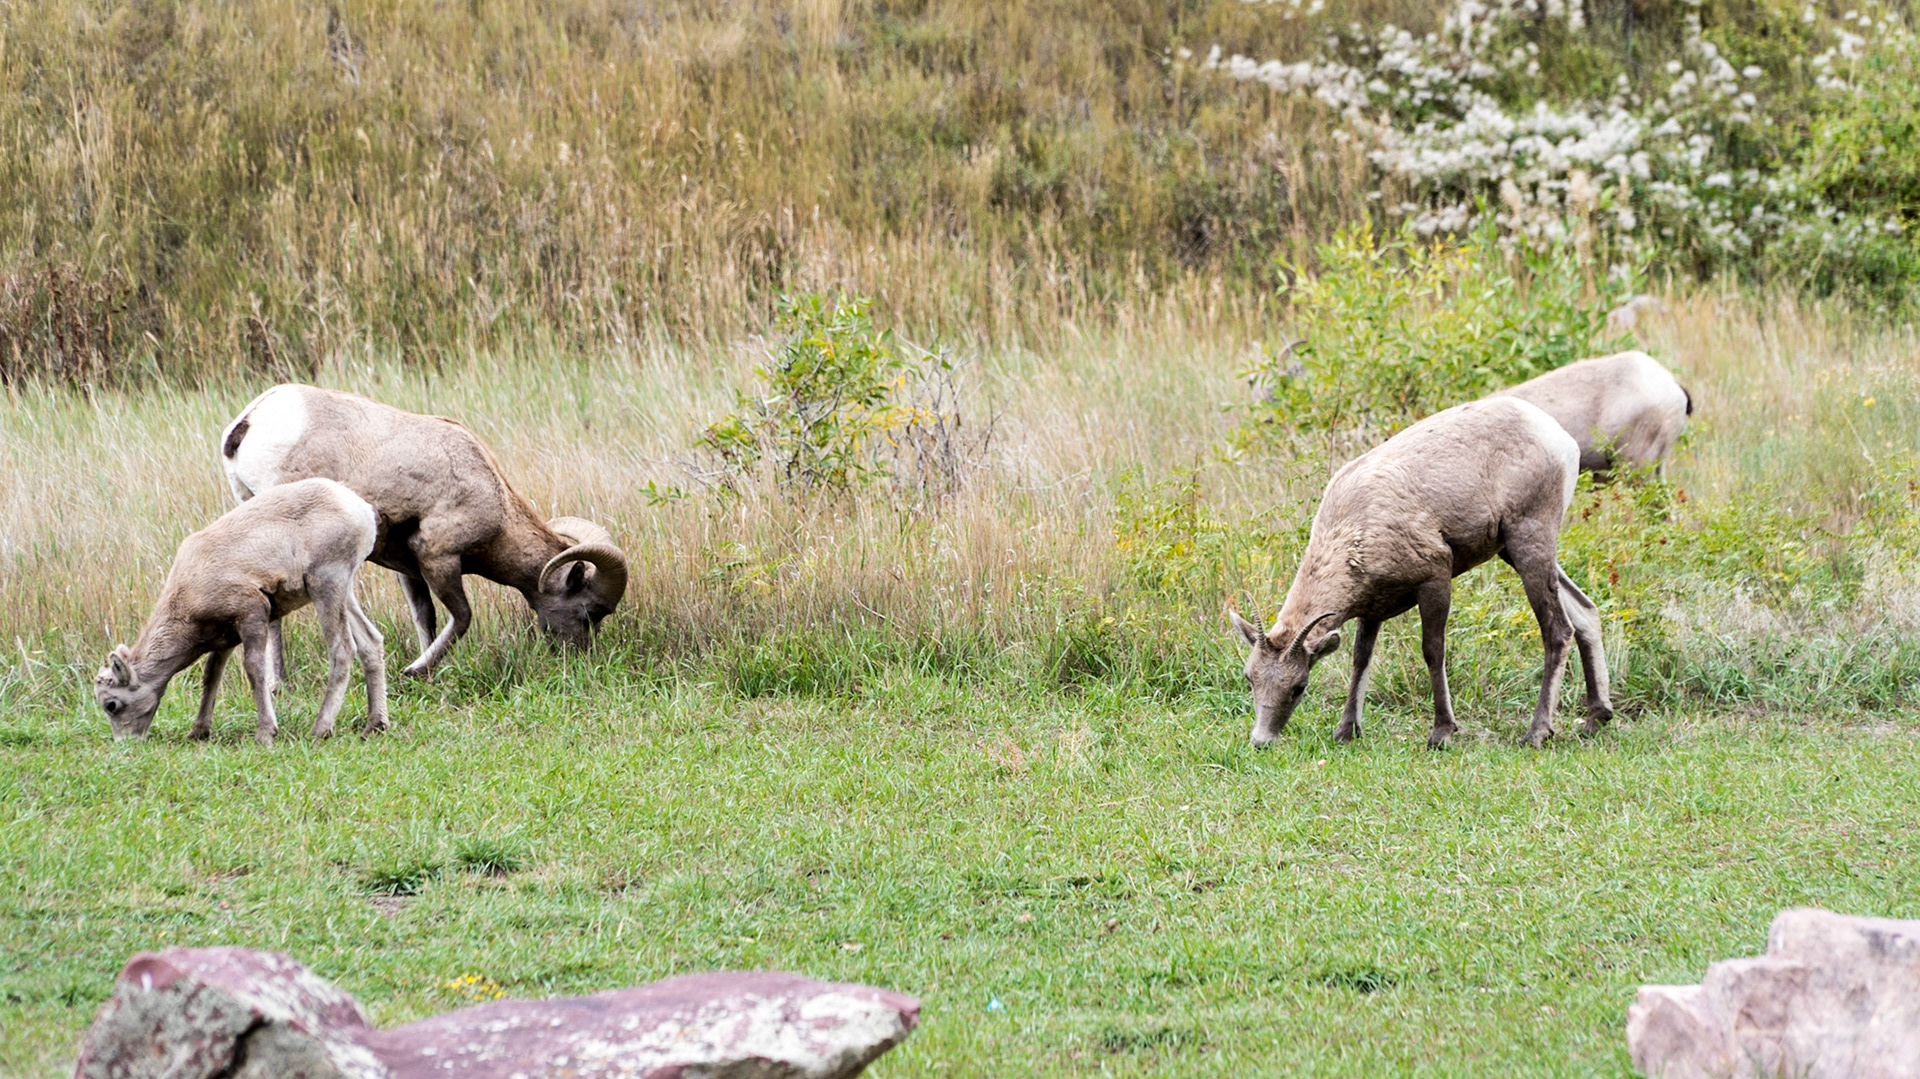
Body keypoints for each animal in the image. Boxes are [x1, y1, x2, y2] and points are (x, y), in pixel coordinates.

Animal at [94, 478, 388, 746]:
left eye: (111, 705)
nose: (125, 743)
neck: (186, 603)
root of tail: (361, 509)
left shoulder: (252, 612)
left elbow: (255, 669)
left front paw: (266, 734)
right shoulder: (225, 636)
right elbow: (212, 675)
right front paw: (198, 732)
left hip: (326, 583)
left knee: (342, 650)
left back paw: (320, 730)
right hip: (344, 591)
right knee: (371, 642)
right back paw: (374, 726)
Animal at [219, 384, 630, 679]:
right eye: (590, 612)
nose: (579, 660)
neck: (492, 496)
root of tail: (249, 423)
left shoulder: (408, 569)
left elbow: (425, 618)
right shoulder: (438, 557)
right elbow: (461, 617)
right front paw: (415, 670)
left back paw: (279, 684)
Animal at [1230, 396, 1611, 749]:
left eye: (1299, 687)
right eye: (1250, 678)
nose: (1261, 740)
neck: (1355, 527)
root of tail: (1559, 439)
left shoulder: (1435, 579)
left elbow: (1432, 651)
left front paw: (1441, 733)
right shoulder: (1372, 609)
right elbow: (1360, 659)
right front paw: (1346, 731)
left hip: (1529, 539)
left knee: (1558, 629)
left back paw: (1537, 733)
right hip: (1511, 551)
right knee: (1585, 611)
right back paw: (1596, 718)